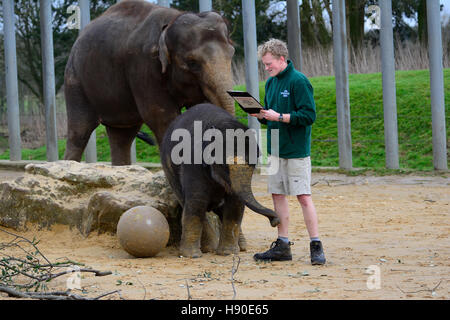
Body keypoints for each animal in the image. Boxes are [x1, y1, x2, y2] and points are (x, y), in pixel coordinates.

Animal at [65, 0, 237, 165]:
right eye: (192, 63)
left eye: (232, 53)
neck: (171, 20)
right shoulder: (143, 66)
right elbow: (161, 116)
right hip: (75, 81)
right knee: (79, 132)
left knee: (122, 136)